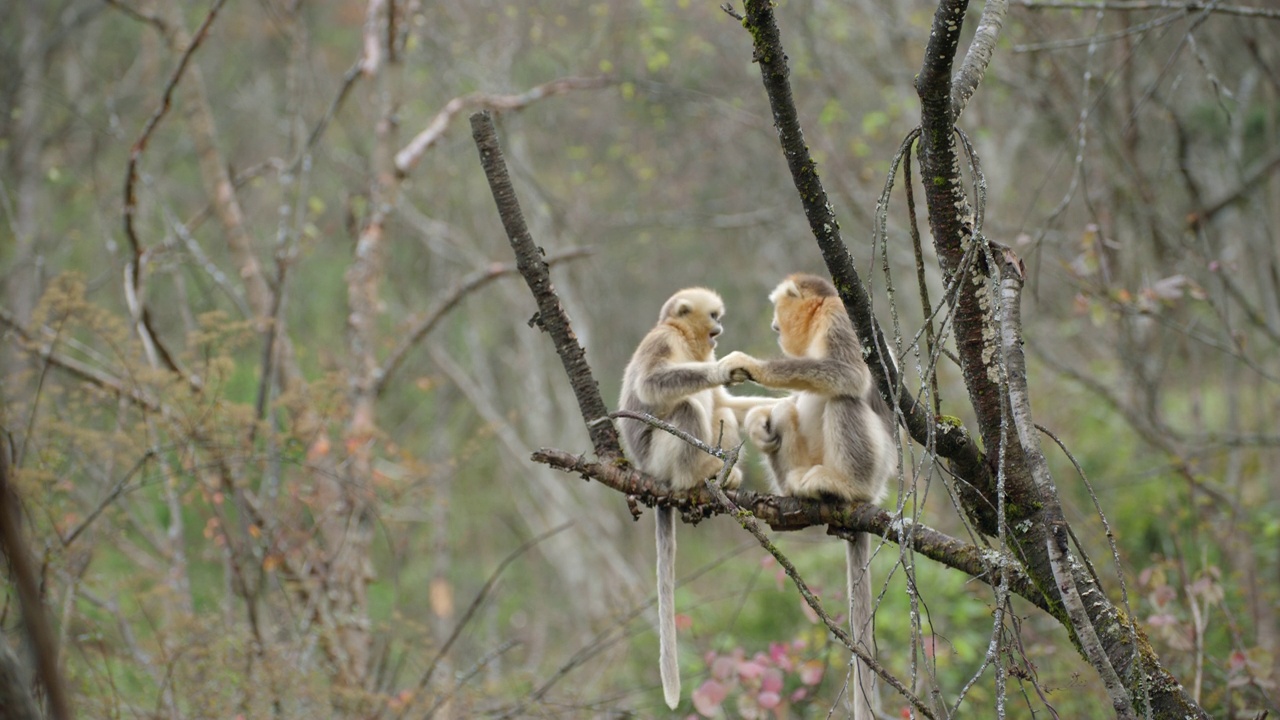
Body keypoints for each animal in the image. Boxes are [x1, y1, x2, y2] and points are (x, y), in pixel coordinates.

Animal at [614, 285, 773, 707]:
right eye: (713, 315)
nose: (719, 328)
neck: (685, 340)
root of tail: (649, 474)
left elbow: (725, 405)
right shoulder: (662, 341)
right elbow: (651, 383)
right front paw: (728, 368)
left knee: (720, 412)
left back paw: (725, 476)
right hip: (660, 457)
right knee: (687, 403)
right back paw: (700, 477)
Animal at [721, 272, 901, 717]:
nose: (774, 325)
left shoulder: (842, 319)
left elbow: (848, 373)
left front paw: (749, 365)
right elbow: (782, 410)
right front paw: (758, 422)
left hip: (875, 466)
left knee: (844, 396)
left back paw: (838, 486)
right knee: (787, 413)